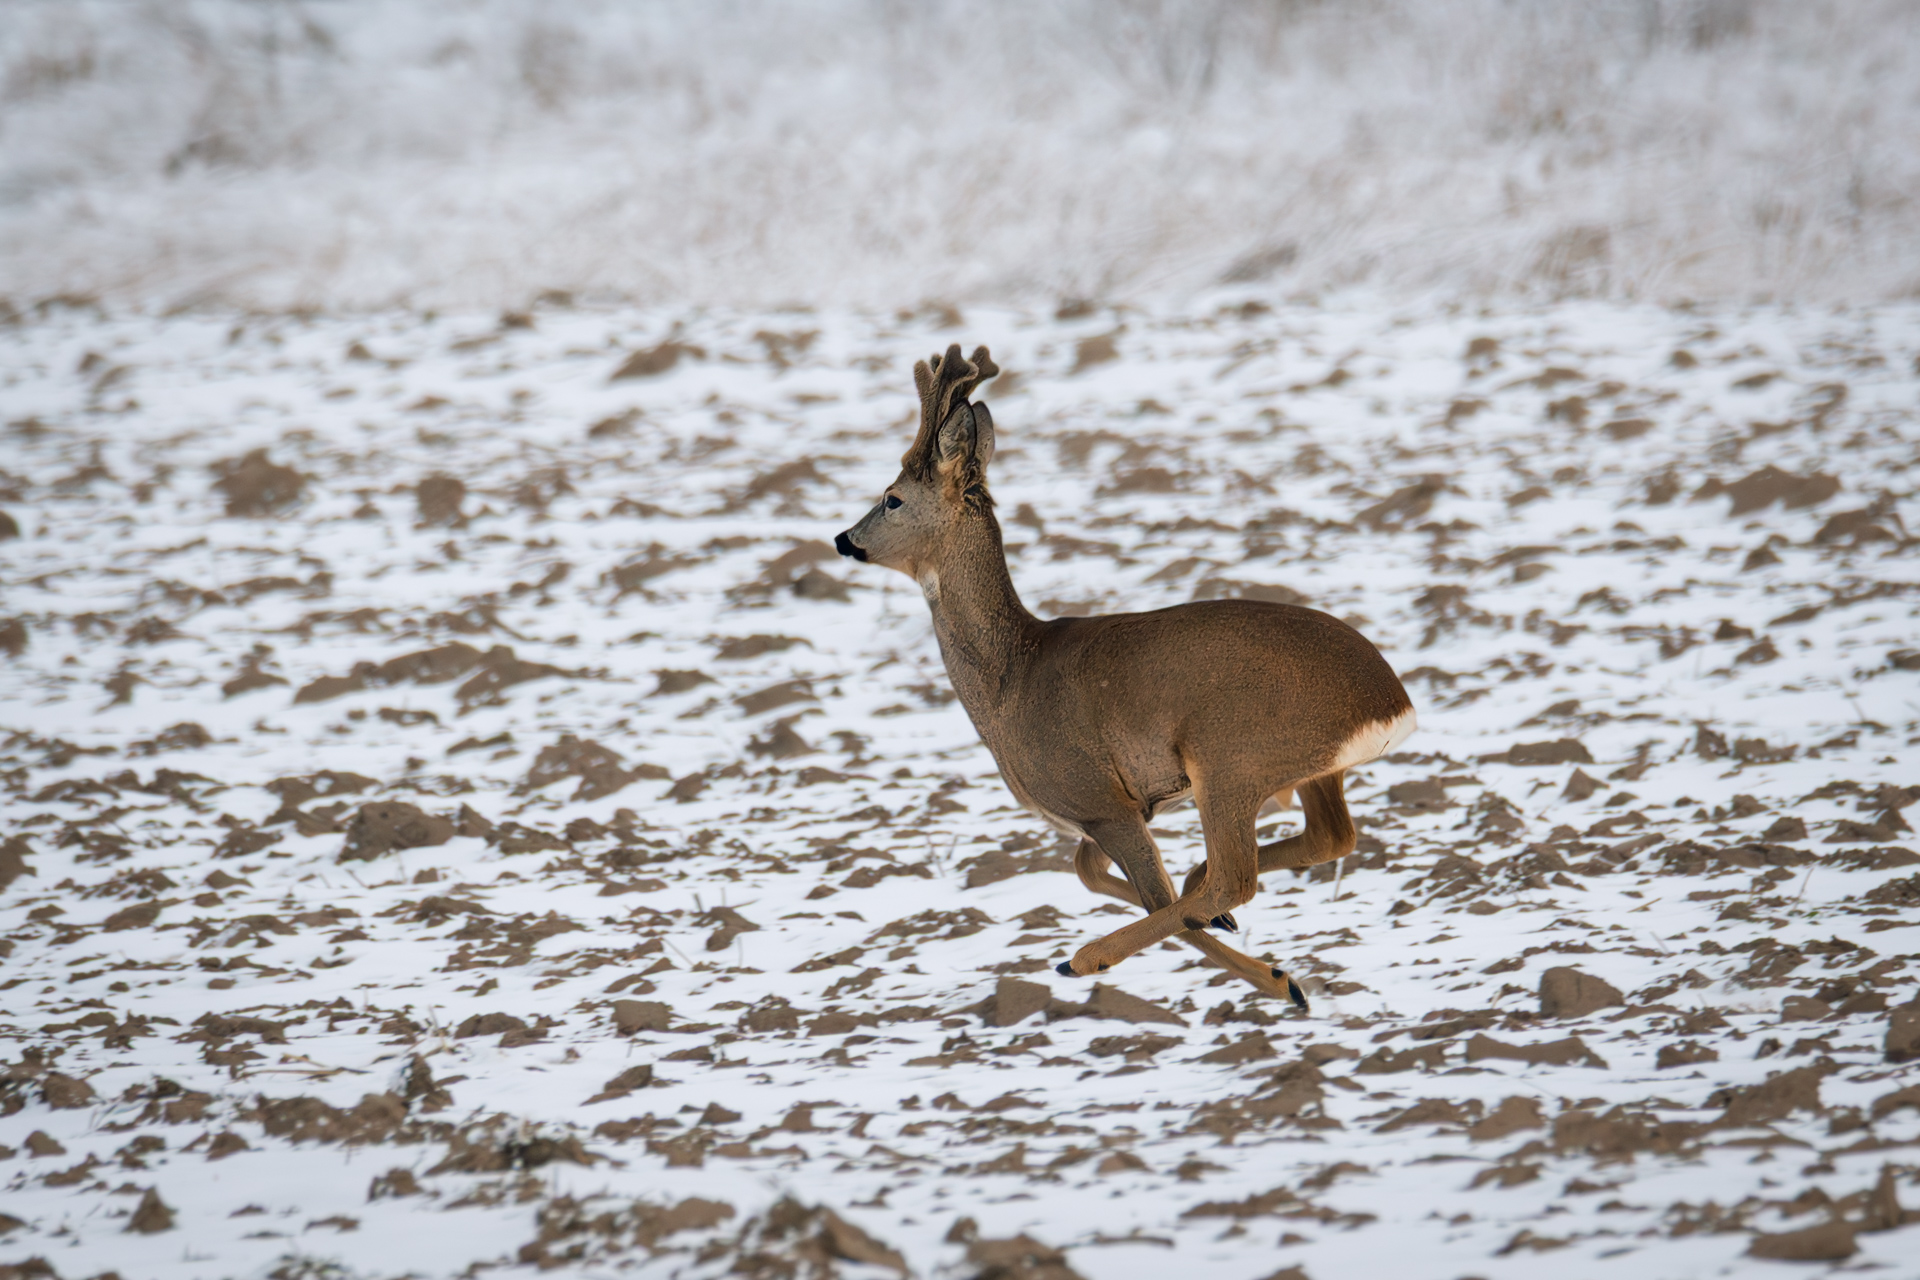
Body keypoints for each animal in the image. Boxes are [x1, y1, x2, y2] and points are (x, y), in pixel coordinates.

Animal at [834, 345, 1415, 1006]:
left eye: (892, 498)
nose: (844, 539)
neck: (1009, 679)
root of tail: (1390, 706)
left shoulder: (1099, 799)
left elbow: (1146, 893)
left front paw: (1269, 971)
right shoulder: (1106, 813)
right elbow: (1094, 876)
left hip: (1230, 759)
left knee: (1233, 879)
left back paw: (1096, 957)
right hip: (1309, 771)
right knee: (1328, 839)